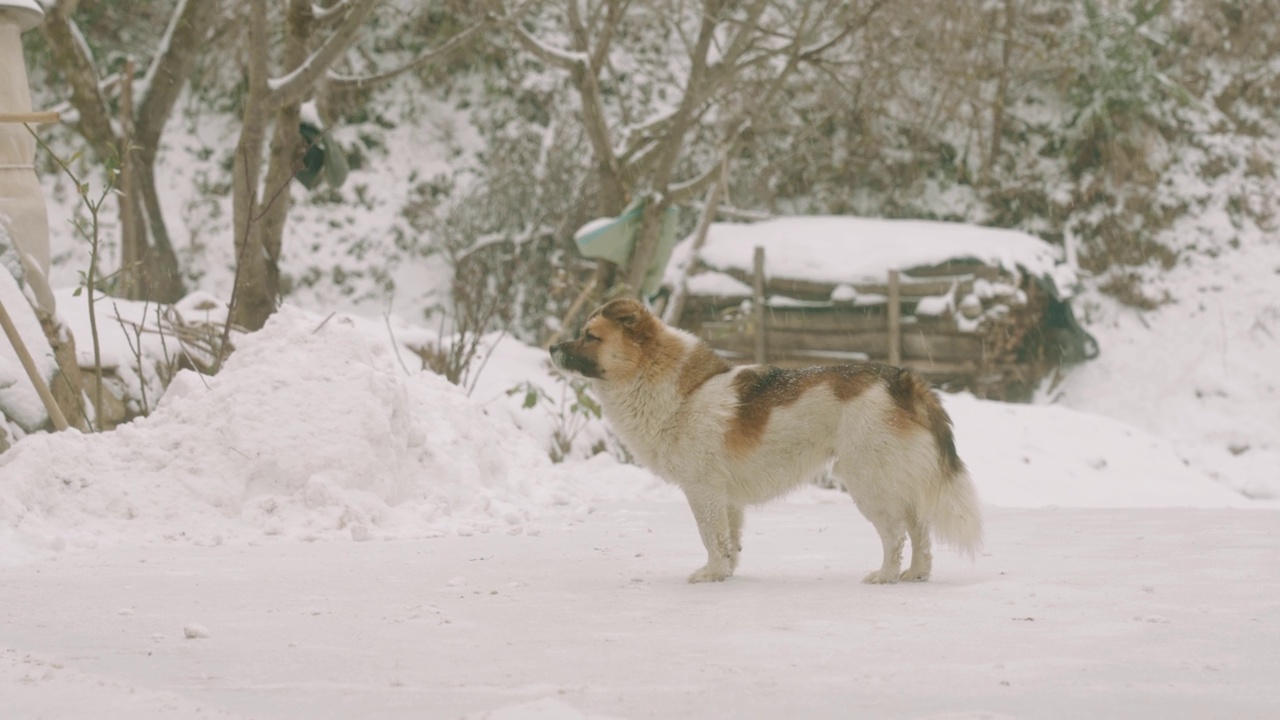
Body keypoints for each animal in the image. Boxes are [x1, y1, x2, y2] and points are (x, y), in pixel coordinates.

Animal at [547, 297, 977, 584]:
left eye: (589, 336)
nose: (551, 346)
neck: (684, 393)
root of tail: (903, 380)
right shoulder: (726, 498)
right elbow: (729, 540)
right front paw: (725, 572)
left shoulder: (702, 490)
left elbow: (709, 536)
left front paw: (710, 574)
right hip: (896, 479)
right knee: (920, 530)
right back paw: (916, 574)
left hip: (869, 481)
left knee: (896, 534)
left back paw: (885, 574)